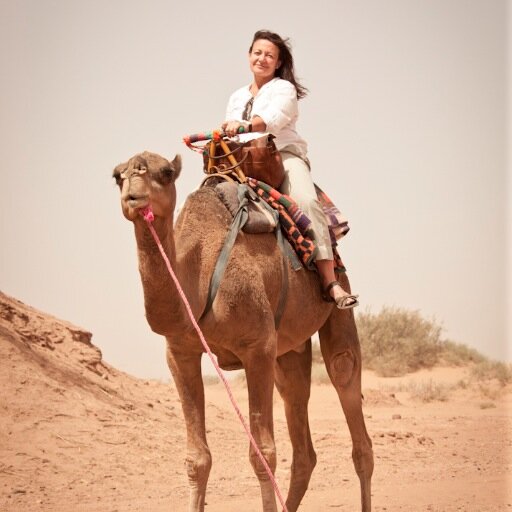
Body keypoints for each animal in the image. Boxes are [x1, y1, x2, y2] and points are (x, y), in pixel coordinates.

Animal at [114, 150, 374, 510]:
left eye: (165, 173)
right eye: (117, 176)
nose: (133, 197)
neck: (200, 276)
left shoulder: (258, 347)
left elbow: (263, 454)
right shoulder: (180, 353)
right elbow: (198, 459)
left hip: (337, 297)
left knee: (345, 379)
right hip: (289, 349)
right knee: (299, 420)